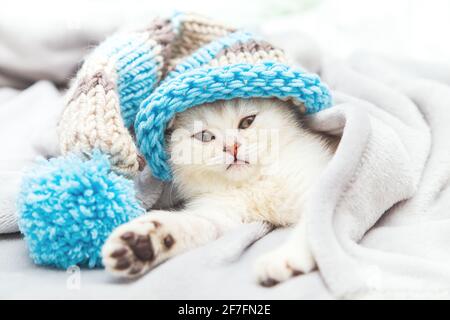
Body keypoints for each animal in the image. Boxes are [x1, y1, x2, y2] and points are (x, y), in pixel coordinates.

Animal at [101, 98, 334, 284]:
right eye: (204, 136)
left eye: (247, 122)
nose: (232, 147)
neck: (252, 183)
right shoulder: (221, 213)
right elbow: (198, 224)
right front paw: (140, 244)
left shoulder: (320, 182)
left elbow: (316, 222)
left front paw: (285, 257)